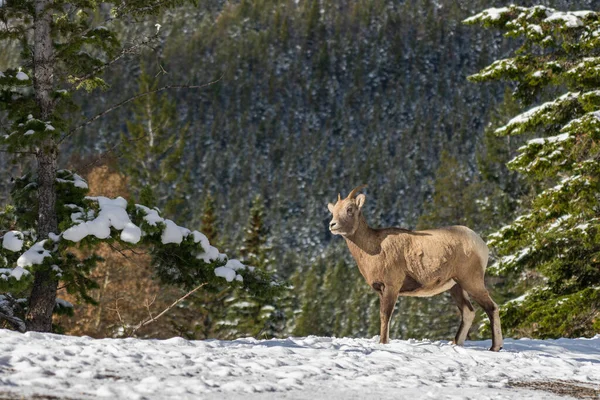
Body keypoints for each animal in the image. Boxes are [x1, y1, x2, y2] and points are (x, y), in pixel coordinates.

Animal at [328, 184, 502, 350]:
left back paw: (495, 347)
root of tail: (481, 244)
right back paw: (455, 343)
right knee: (468, 312)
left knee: (491, 308)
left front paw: (383, 343)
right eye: (333, 211)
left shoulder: (391, 287)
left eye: (349, 209)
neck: (374, 249)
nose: (332, 225)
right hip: (456, 286)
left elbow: (385, 316)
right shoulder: (381, 291)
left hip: (471, 281)